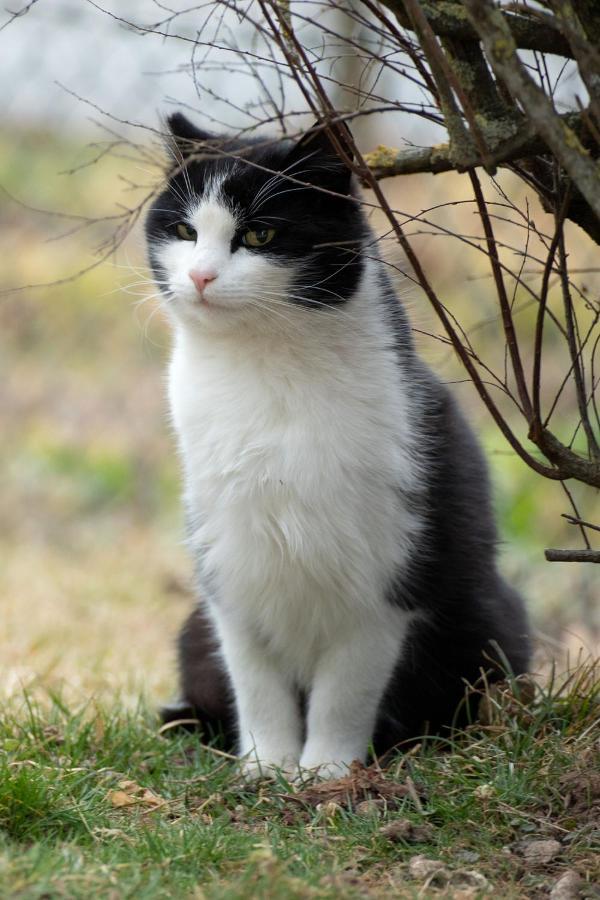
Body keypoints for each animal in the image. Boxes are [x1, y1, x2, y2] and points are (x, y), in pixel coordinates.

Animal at [149, 110, 528, 772]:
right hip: (192, 629)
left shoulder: (389, 575)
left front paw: (324, 771)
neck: (264, 372)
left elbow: (346, 689)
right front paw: (266, 768)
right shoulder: (228, 561)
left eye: (261, 235)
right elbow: (254, 677)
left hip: (490, 621)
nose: (199, 275)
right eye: (183, 230)